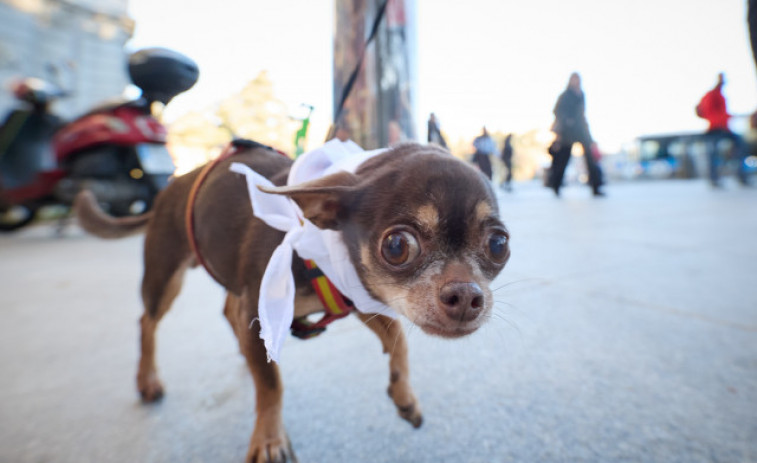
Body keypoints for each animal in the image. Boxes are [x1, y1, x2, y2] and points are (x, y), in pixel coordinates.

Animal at [74, 142, 510, 463]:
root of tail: (170, 188)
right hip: (165, 277)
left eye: (499, 244)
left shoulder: (361, 297)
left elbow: (399, 339)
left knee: (227, 313)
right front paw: (270, 440)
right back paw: (147, 379)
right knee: (147, 322)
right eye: (397, 246)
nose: (467, 295)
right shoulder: (267, 304)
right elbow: (272, 385)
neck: (316, 241)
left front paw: (405, 396)